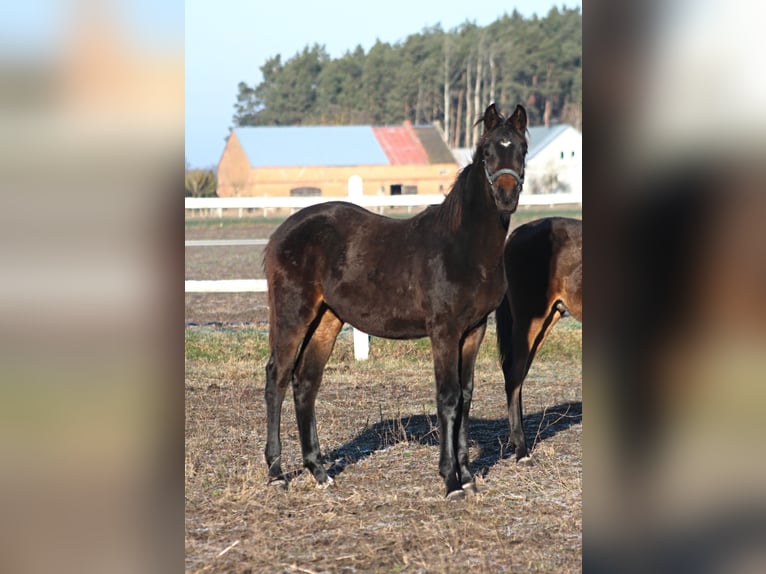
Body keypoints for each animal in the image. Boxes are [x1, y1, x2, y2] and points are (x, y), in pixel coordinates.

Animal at [263, 103, 529, 498]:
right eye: (487, 152)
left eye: (522, 149)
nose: (506, 195)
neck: (463, 246)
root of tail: (281, 233)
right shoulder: (444, 331)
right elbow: (448, 397)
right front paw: (450, 481)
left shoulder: (474, 330)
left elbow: (466, 396)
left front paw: (467, 475)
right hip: (294, 314)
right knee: (277, 378)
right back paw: (277, 472)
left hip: (327, 318)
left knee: (306, 381)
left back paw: (319, 471)